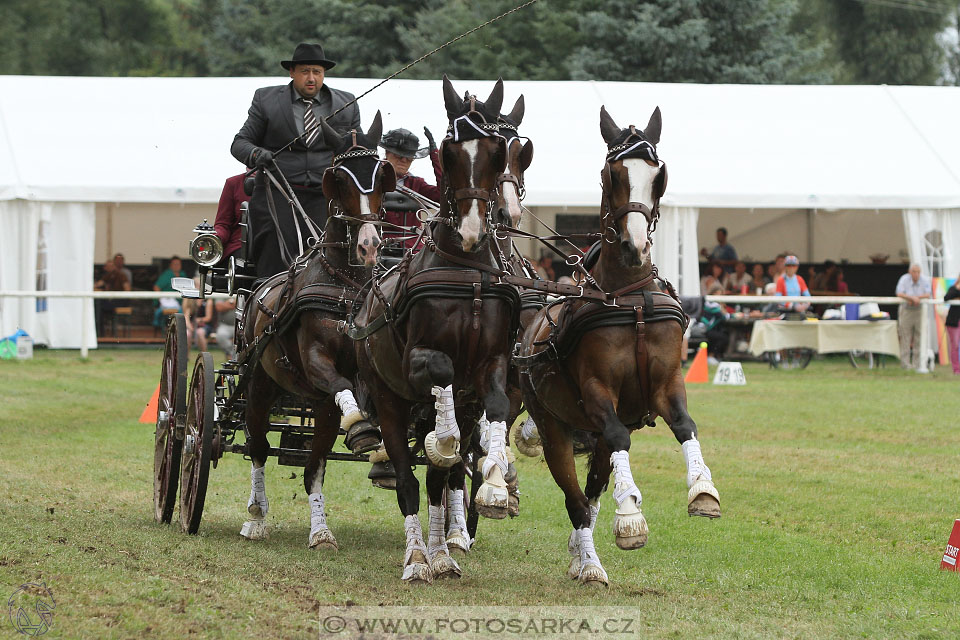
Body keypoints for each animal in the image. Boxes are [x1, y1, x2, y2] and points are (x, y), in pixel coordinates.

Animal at [236, 112, 394, 548]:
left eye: (381, 174)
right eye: (339, 178)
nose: (369, 244)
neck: (345, 285)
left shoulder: (361, 370)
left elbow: (318, 464)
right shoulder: (314, 359)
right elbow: (341, 388)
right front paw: (361, 427)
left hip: (319, 408)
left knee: (313, 462)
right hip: (260, 384)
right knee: (258, 446)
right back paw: (256, 515)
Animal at [350, 76, 516, 584]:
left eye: (498, 151)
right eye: (448, 149)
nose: (472, 228)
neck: (465, 270)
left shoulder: (492, 364)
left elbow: (496, 407)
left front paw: (496, 484)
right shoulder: (418, 358)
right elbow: (442, 371)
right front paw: (443, 441)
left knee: (439, 481)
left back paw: (442, 552)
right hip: (388, 399)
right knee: (408, 479)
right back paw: (420, 557)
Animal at [516, 104, 720, 584]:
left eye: (657, 173)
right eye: (613, 174)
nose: (634, 246)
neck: (629, 299)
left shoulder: (667, 383)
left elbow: (685, 424)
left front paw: (703, 489)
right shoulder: (597, 391)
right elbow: (616, 437)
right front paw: (630, 515)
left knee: (589, 495)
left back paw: (580, 552)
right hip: (553, 427)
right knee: (576, 499)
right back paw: (589, 563)